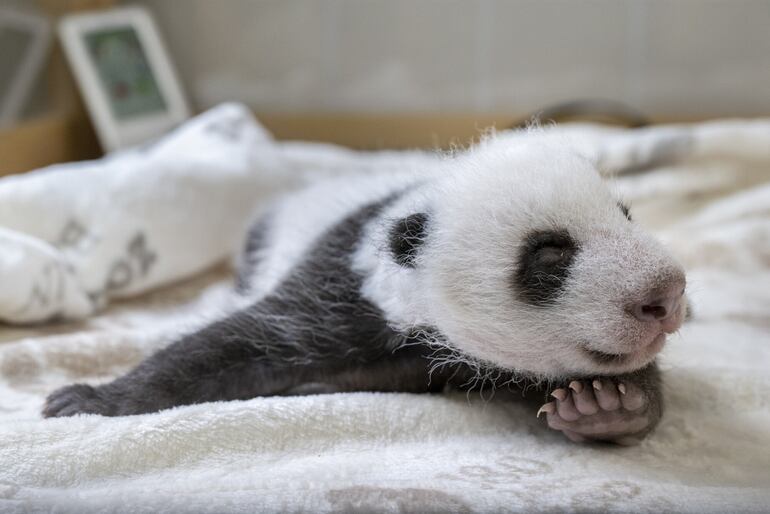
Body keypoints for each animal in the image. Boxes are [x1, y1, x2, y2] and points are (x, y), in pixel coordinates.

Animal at [45, 137, 688, 444]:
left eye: (626, 215)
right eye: (551, 254)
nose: (666, 294)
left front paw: (607, 407)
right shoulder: (343, 288)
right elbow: (230, 347)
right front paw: (91, 399)